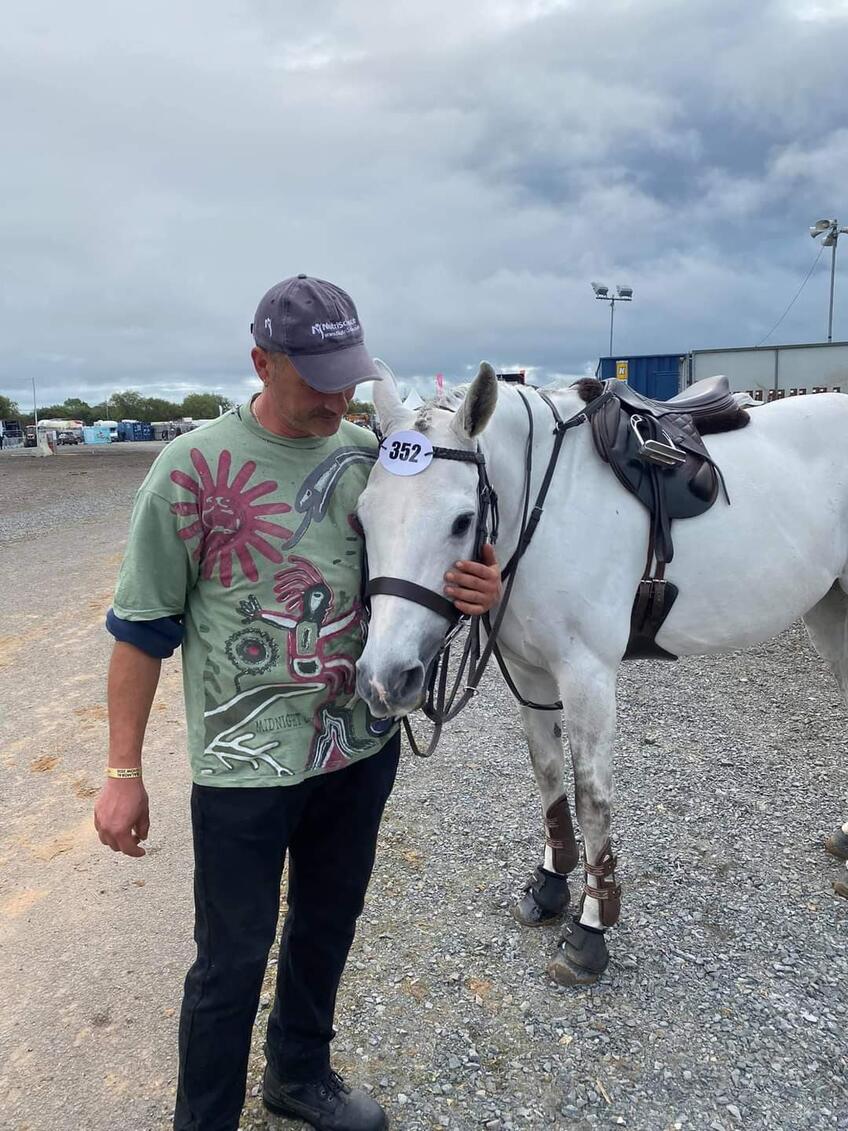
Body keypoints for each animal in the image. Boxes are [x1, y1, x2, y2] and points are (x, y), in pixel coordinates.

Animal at [357, 366, 848, 986]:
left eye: (461, 520)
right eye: (363, 515)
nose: (383, 679)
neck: (546, 508)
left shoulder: (587, 678)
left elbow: (592, 800)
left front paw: (591, 929)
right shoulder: (531, 673)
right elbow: (547, 776)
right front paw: (549, 886)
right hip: (831, 612)